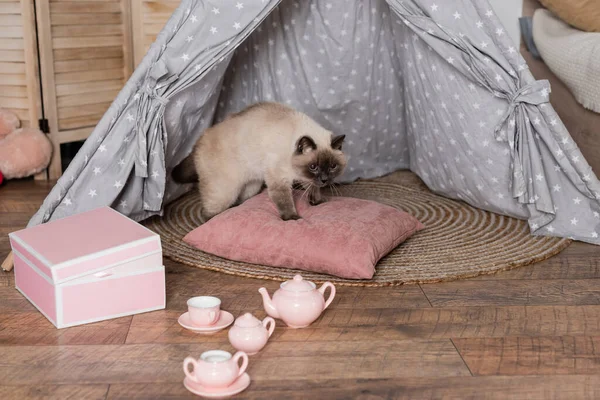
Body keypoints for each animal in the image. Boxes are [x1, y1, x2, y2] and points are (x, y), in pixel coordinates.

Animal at [171, 101, 346, 222]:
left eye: (333, 166)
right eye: (313, 166)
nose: (324, 180)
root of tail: (201, 138)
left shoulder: (304, 177)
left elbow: (312, 188)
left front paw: (317, 201)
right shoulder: (279, 181)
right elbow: (285, 201)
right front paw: (292, 218)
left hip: (251, 187)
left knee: (241, 199)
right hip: (224, 192)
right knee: (208, 212)